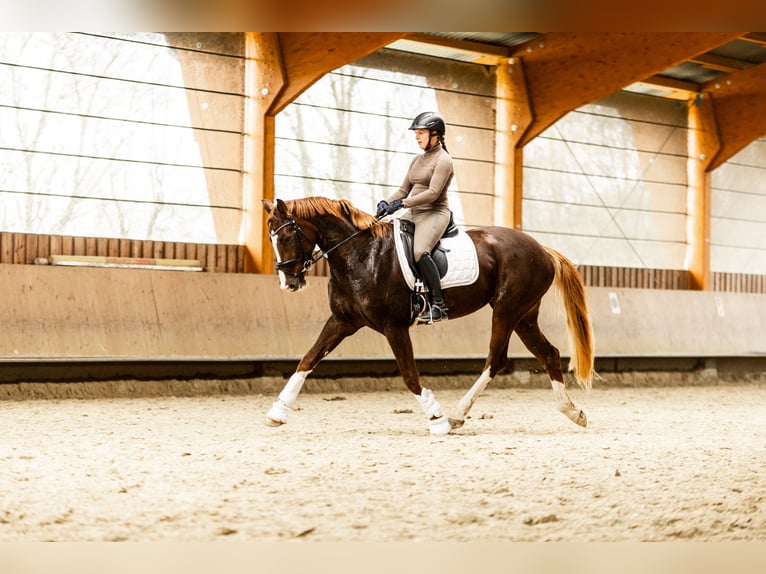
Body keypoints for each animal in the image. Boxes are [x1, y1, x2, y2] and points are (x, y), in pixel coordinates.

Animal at [262, 196, 595, 435]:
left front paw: (437, 419)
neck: (361, 255)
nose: (289, 283)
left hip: (506, 310)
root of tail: (541, 248)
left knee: (496, 360)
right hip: (524, 315)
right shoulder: (343, 322)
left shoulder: (394, 327)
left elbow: (409, 375)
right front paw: (277, 412)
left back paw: (457, 415)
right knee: (548, 353)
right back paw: (573, 412)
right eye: (271, 239)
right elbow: (308, 359)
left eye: (287, 237)